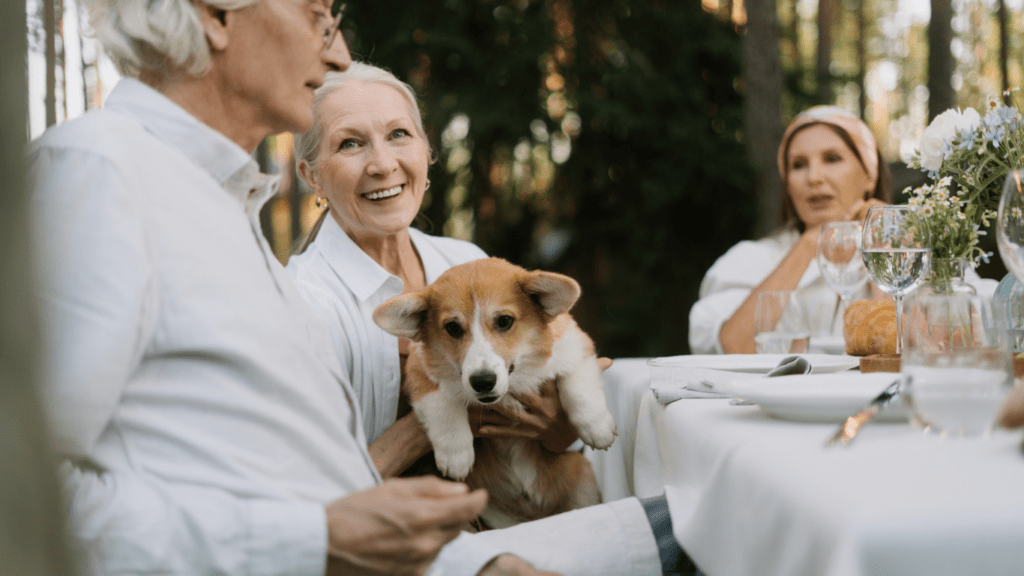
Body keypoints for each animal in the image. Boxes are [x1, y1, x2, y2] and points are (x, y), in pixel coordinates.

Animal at [374, 258, 614, 528]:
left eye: (504, 321)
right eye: (453, 327)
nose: (482, 382)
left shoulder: (575, 347)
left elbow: (577, 386)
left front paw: (598, 428)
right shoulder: (421, 373)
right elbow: (443, 406)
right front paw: (456, 456)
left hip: (582, 477)